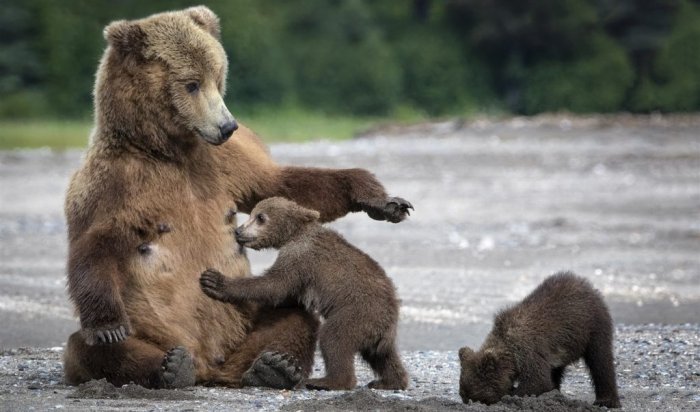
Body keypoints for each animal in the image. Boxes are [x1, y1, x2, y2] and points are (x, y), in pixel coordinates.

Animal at [201, 198, 410, 392]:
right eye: (252, 213)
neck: (294, 234)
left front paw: (214, 281)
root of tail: (390, 320)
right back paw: (388, 382)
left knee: (333, 338)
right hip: (376, 331)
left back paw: (326, 381)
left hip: (357, 313)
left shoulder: (299, 258)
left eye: (260, 217)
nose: (239, 231)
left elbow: (274, 285)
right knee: (383, 356)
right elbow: (284, 293)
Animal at [462, 270, 620, 408]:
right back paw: (555, 393)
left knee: (600, 360)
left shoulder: (527, 349)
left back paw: (606, 401)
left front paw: (511, 394)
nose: (469, 402)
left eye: (479, 398)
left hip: (592, 325)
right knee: (557, 370)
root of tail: (586, 284)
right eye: (464, 396)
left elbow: (537, 380)